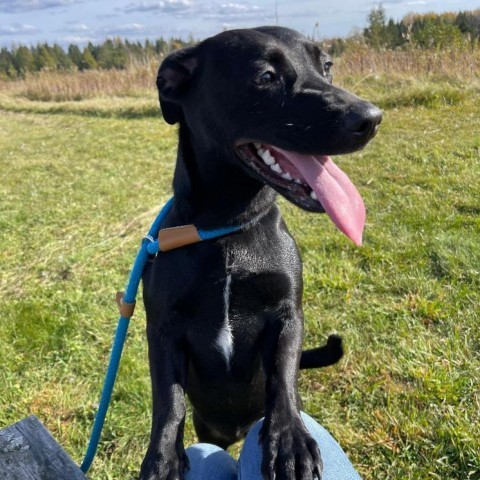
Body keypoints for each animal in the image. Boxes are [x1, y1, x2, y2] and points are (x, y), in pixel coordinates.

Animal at [140, 27, 382, 480]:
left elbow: (282, 378)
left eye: (327, 66)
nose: (371, 118)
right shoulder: (162, 330)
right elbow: (169, 400)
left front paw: (288, 439)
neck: (229, 229)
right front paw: (162, 458)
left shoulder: (287, 314)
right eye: (266, 76)